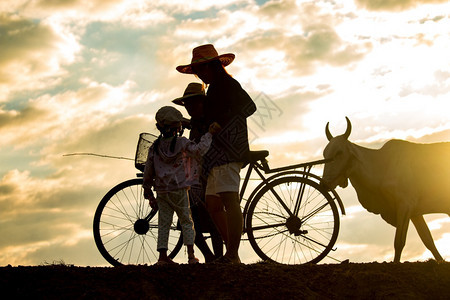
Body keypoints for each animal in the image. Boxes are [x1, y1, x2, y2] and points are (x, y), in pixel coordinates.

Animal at [322, 117, 448, 262]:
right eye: (324, 154)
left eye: (339, 152)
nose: (324, 184)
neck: (382, 164)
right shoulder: (414, 212)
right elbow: (428, 240)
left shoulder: (405, 205)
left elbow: (399, 242)